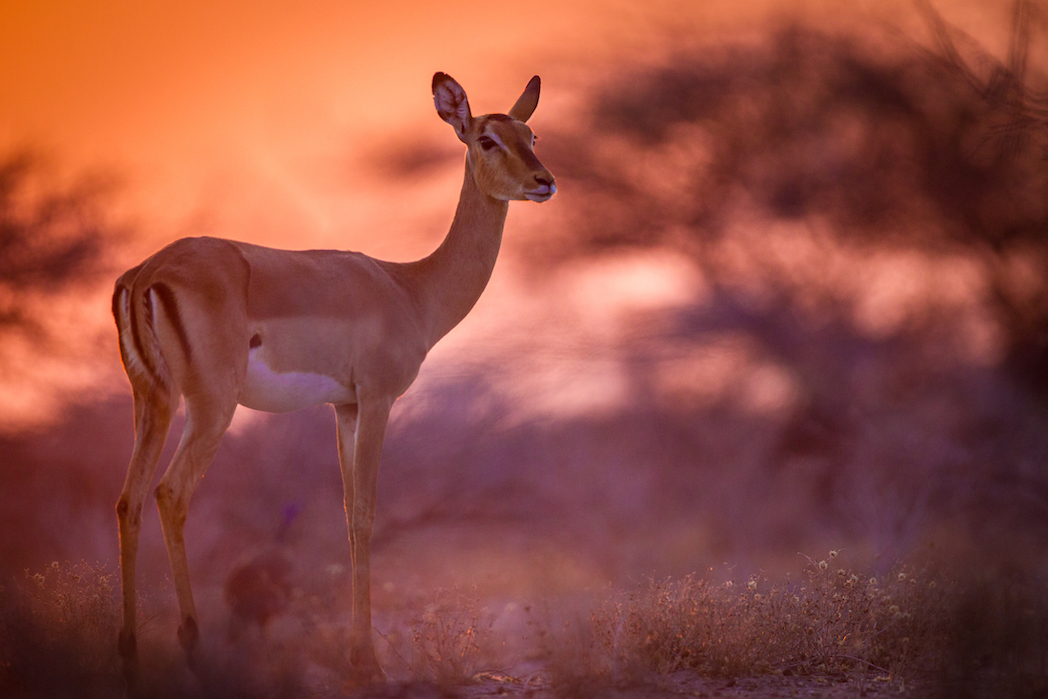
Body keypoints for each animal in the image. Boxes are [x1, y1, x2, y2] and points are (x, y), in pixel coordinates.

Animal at [112, 72, 555, 687]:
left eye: (531, 134)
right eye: (486, 139)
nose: (544, 182)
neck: (410, 289)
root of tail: (147, 273)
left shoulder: (343, 407)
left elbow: (346, 516)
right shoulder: (377, 398)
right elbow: (366, 514)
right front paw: (367, 662)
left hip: (151, 402)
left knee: (128, 500)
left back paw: (129, 655)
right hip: (209, 406)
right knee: (170, 493)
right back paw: (194, 649)